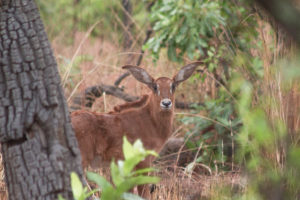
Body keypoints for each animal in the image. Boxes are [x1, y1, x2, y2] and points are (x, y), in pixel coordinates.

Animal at [71, 61, 202, 196]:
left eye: (173, 86)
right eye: (155, 87)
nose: (166, 103)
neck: (150, 121)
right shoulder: (143, 162)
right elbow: (143, 193)